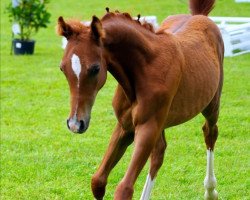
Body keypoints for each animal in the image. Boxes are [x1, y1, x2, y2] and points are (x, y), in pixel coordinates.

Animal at [56, 0, 223, 198]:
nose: (75, 123)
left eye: (95, 68)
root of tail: (200, 16)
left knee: (210, 132)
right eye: (62, 68)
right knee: (159, 153)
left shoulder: (147, 127)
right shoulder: (125, 126)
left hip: (211, 105)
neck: (145, 68)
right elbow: (97, 181)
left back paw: (211, 191)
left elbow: (124, 189)